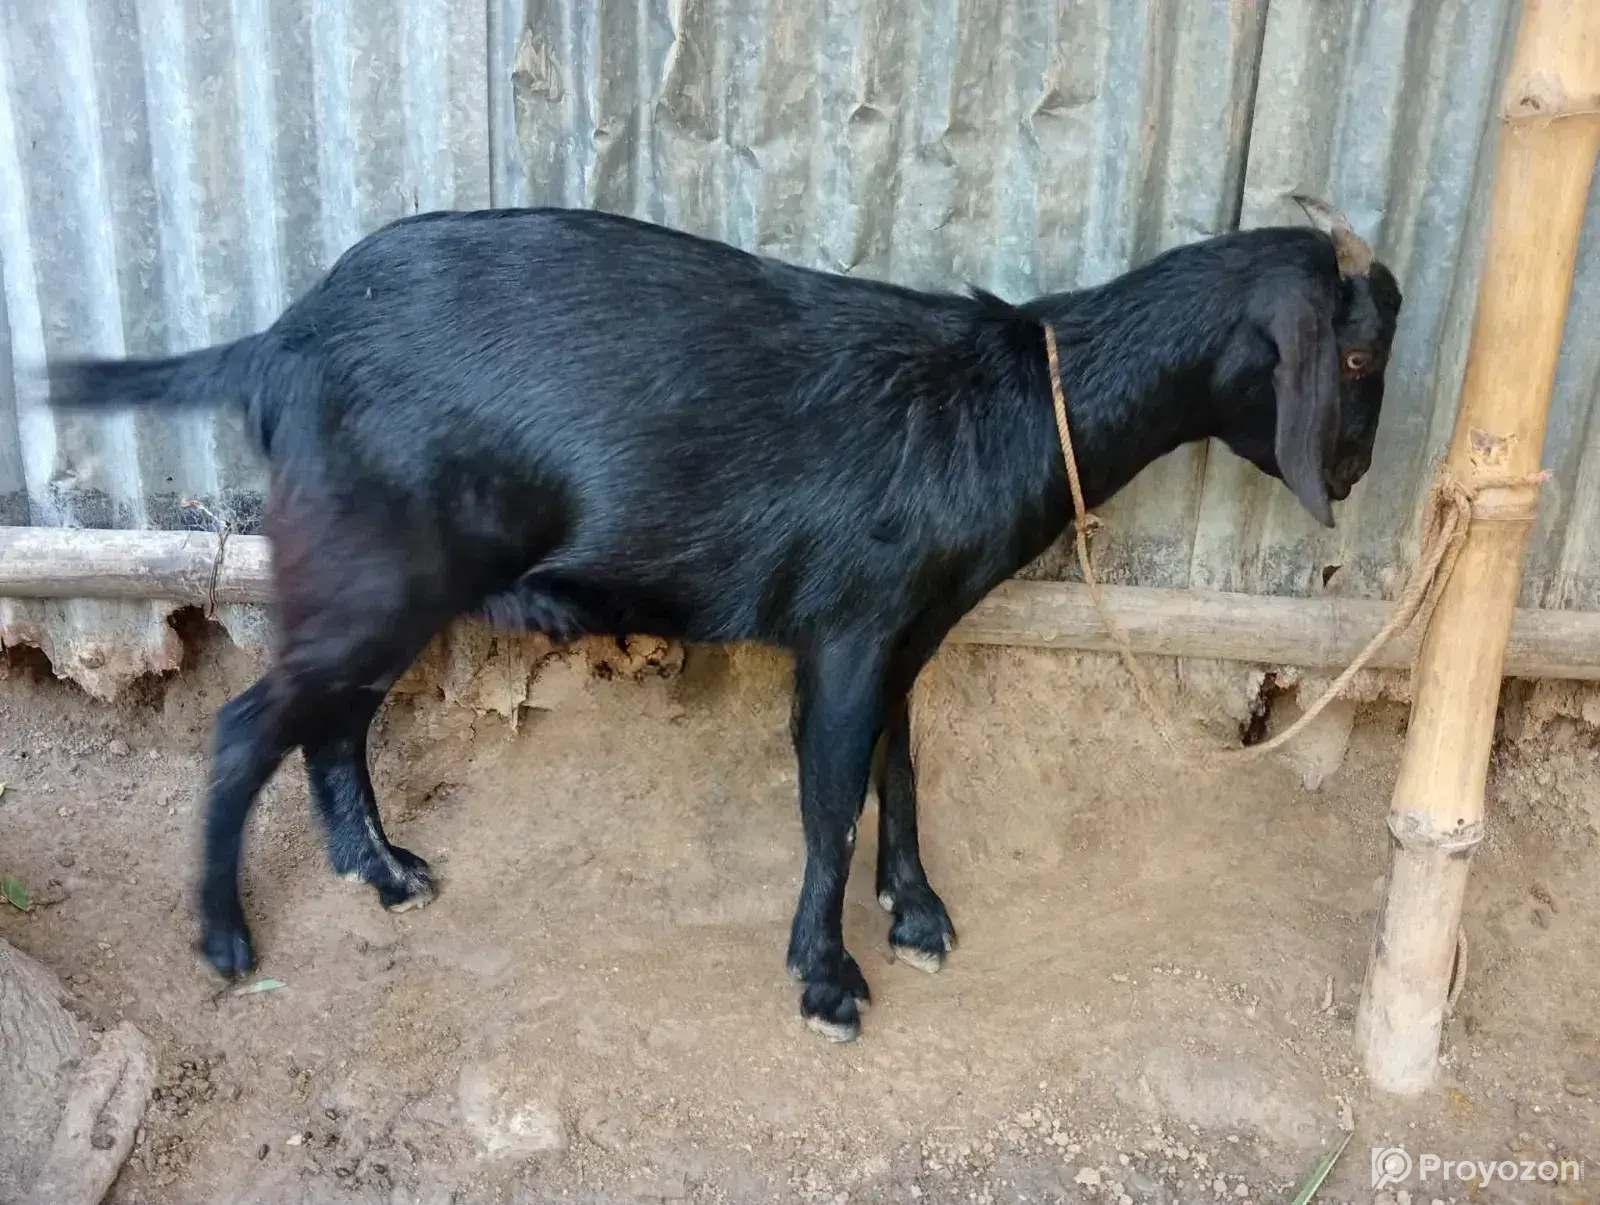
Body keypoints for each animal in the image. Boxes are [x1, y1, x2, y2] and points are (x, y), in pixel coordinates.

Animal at [47, 199, 1402, 1041]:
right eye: (1351, 358)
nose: (1355, 470)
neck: (1004, 403)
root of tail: (279, 343)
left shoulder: (906, 631)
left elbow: (899, 771)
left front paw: (917, 915)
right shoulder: (848, 626)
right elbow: (829, 794)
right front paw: (827, 978)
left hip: (390, 577)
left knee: (331, 719)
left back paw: (379, 872)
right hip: (372, 566)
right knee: (248, 723)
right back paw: (226, 936)